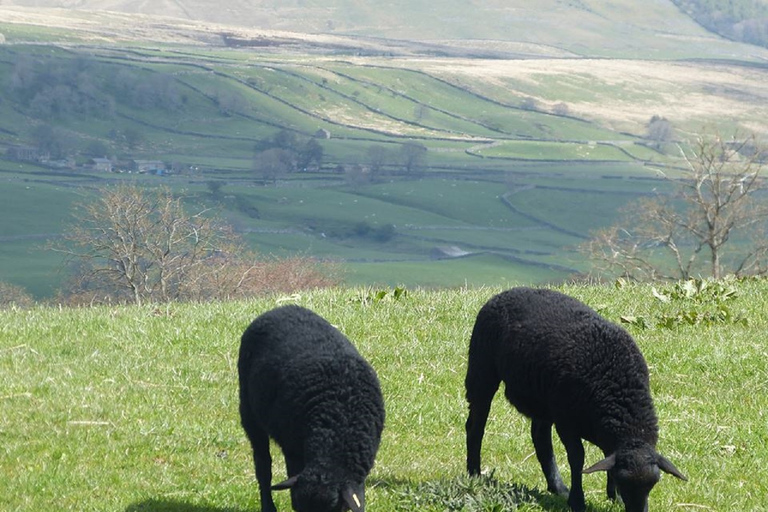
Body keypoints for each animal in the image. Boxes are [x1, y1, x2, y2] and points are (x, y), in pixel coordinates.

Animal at [237, 306, 384, 510]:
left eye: (332, 508)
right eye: (300, 508)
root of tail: (281, 308)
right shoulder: (293, 451)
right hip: (249, 413)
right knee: (263, 465)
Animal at [464, 288, 688, 512]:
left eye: (654, 483)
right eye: (623, 481)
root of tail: (506, 292)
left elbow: (607, 456)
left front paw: (612, 496)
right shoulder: (566, 423)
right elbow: (577, 458)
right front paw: (578, 501)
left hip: (544, 397)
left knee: (540, 436)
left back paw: (557, 487)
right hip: (482, 369)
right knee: (476, 425)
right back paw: (474, 474)